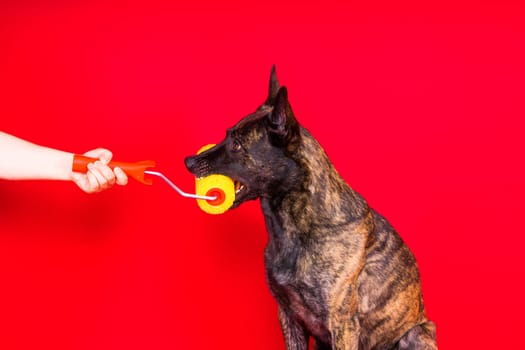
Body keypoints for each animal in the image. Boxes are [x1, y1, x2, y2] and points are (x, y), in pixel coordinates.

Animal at [185, 67, 438, 348]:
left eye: (237, 145)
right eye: (228, 135)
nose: (189, 161)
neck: (297, 224)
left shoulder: (342, 324)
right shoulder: (289, 315)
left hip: (417, 333)